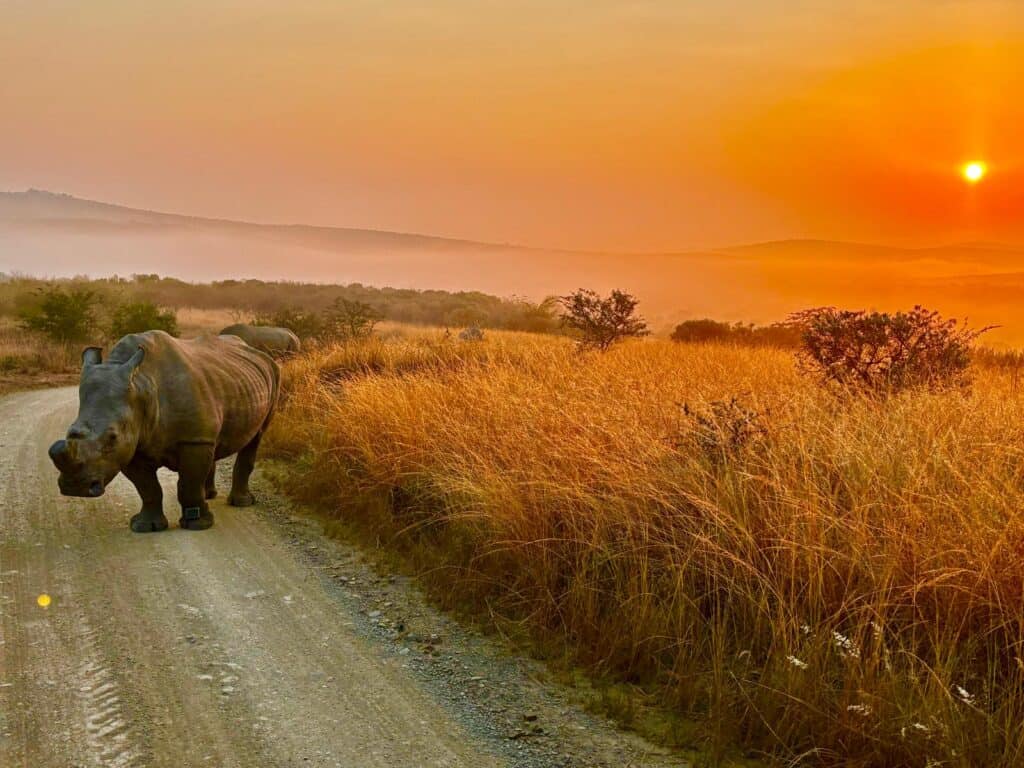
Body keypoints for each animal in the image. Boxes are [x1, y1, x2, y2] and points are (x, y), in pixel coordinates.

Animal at [48, 331, 280, 532]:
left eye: (112, 438)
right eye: (70, 431)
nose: (74, 488)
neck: (142, 384)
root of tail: (256, 351)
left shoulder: (191, 441)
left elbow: (188, 483)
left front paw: (199, 525)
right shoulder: (132, 445)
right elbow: (148, 488)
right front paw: (146, 526)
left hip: (273, 373)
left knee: (256, 436)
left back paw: (241, 502)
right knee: (213, 442)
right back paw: (209, 495)